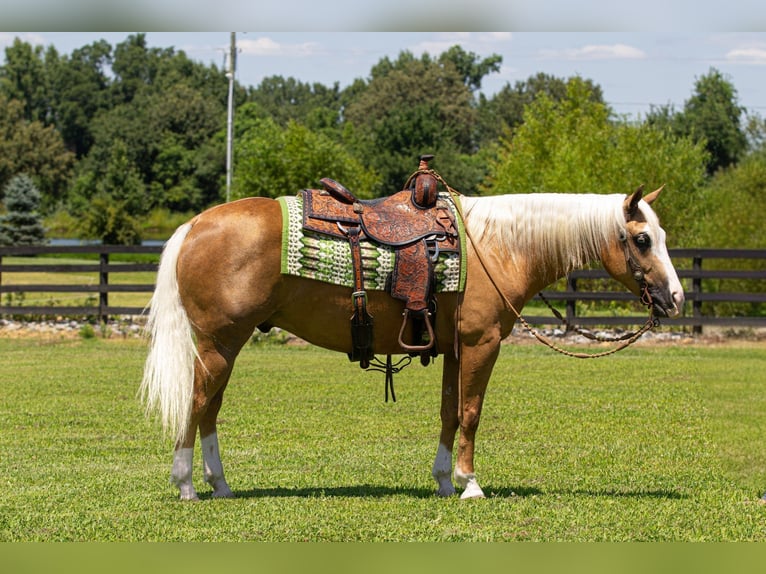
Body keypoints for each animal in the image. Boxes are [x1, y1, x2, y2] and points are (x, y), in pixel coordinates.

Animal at [140, 185, 684, 500]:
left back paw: (220, 485)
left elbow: (449, 412)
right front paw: (469, 484)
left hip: (224, 346)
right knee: (197, 404)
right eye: (642, 240)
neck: (496, 246)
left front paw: (444, 480)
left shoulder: (456, 349)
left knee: (209, 410)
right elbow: (471, 413)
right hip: (219, 343)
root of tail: (195, 224)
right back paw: (187, 485)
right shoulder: (483, 344)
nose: (675, 298)